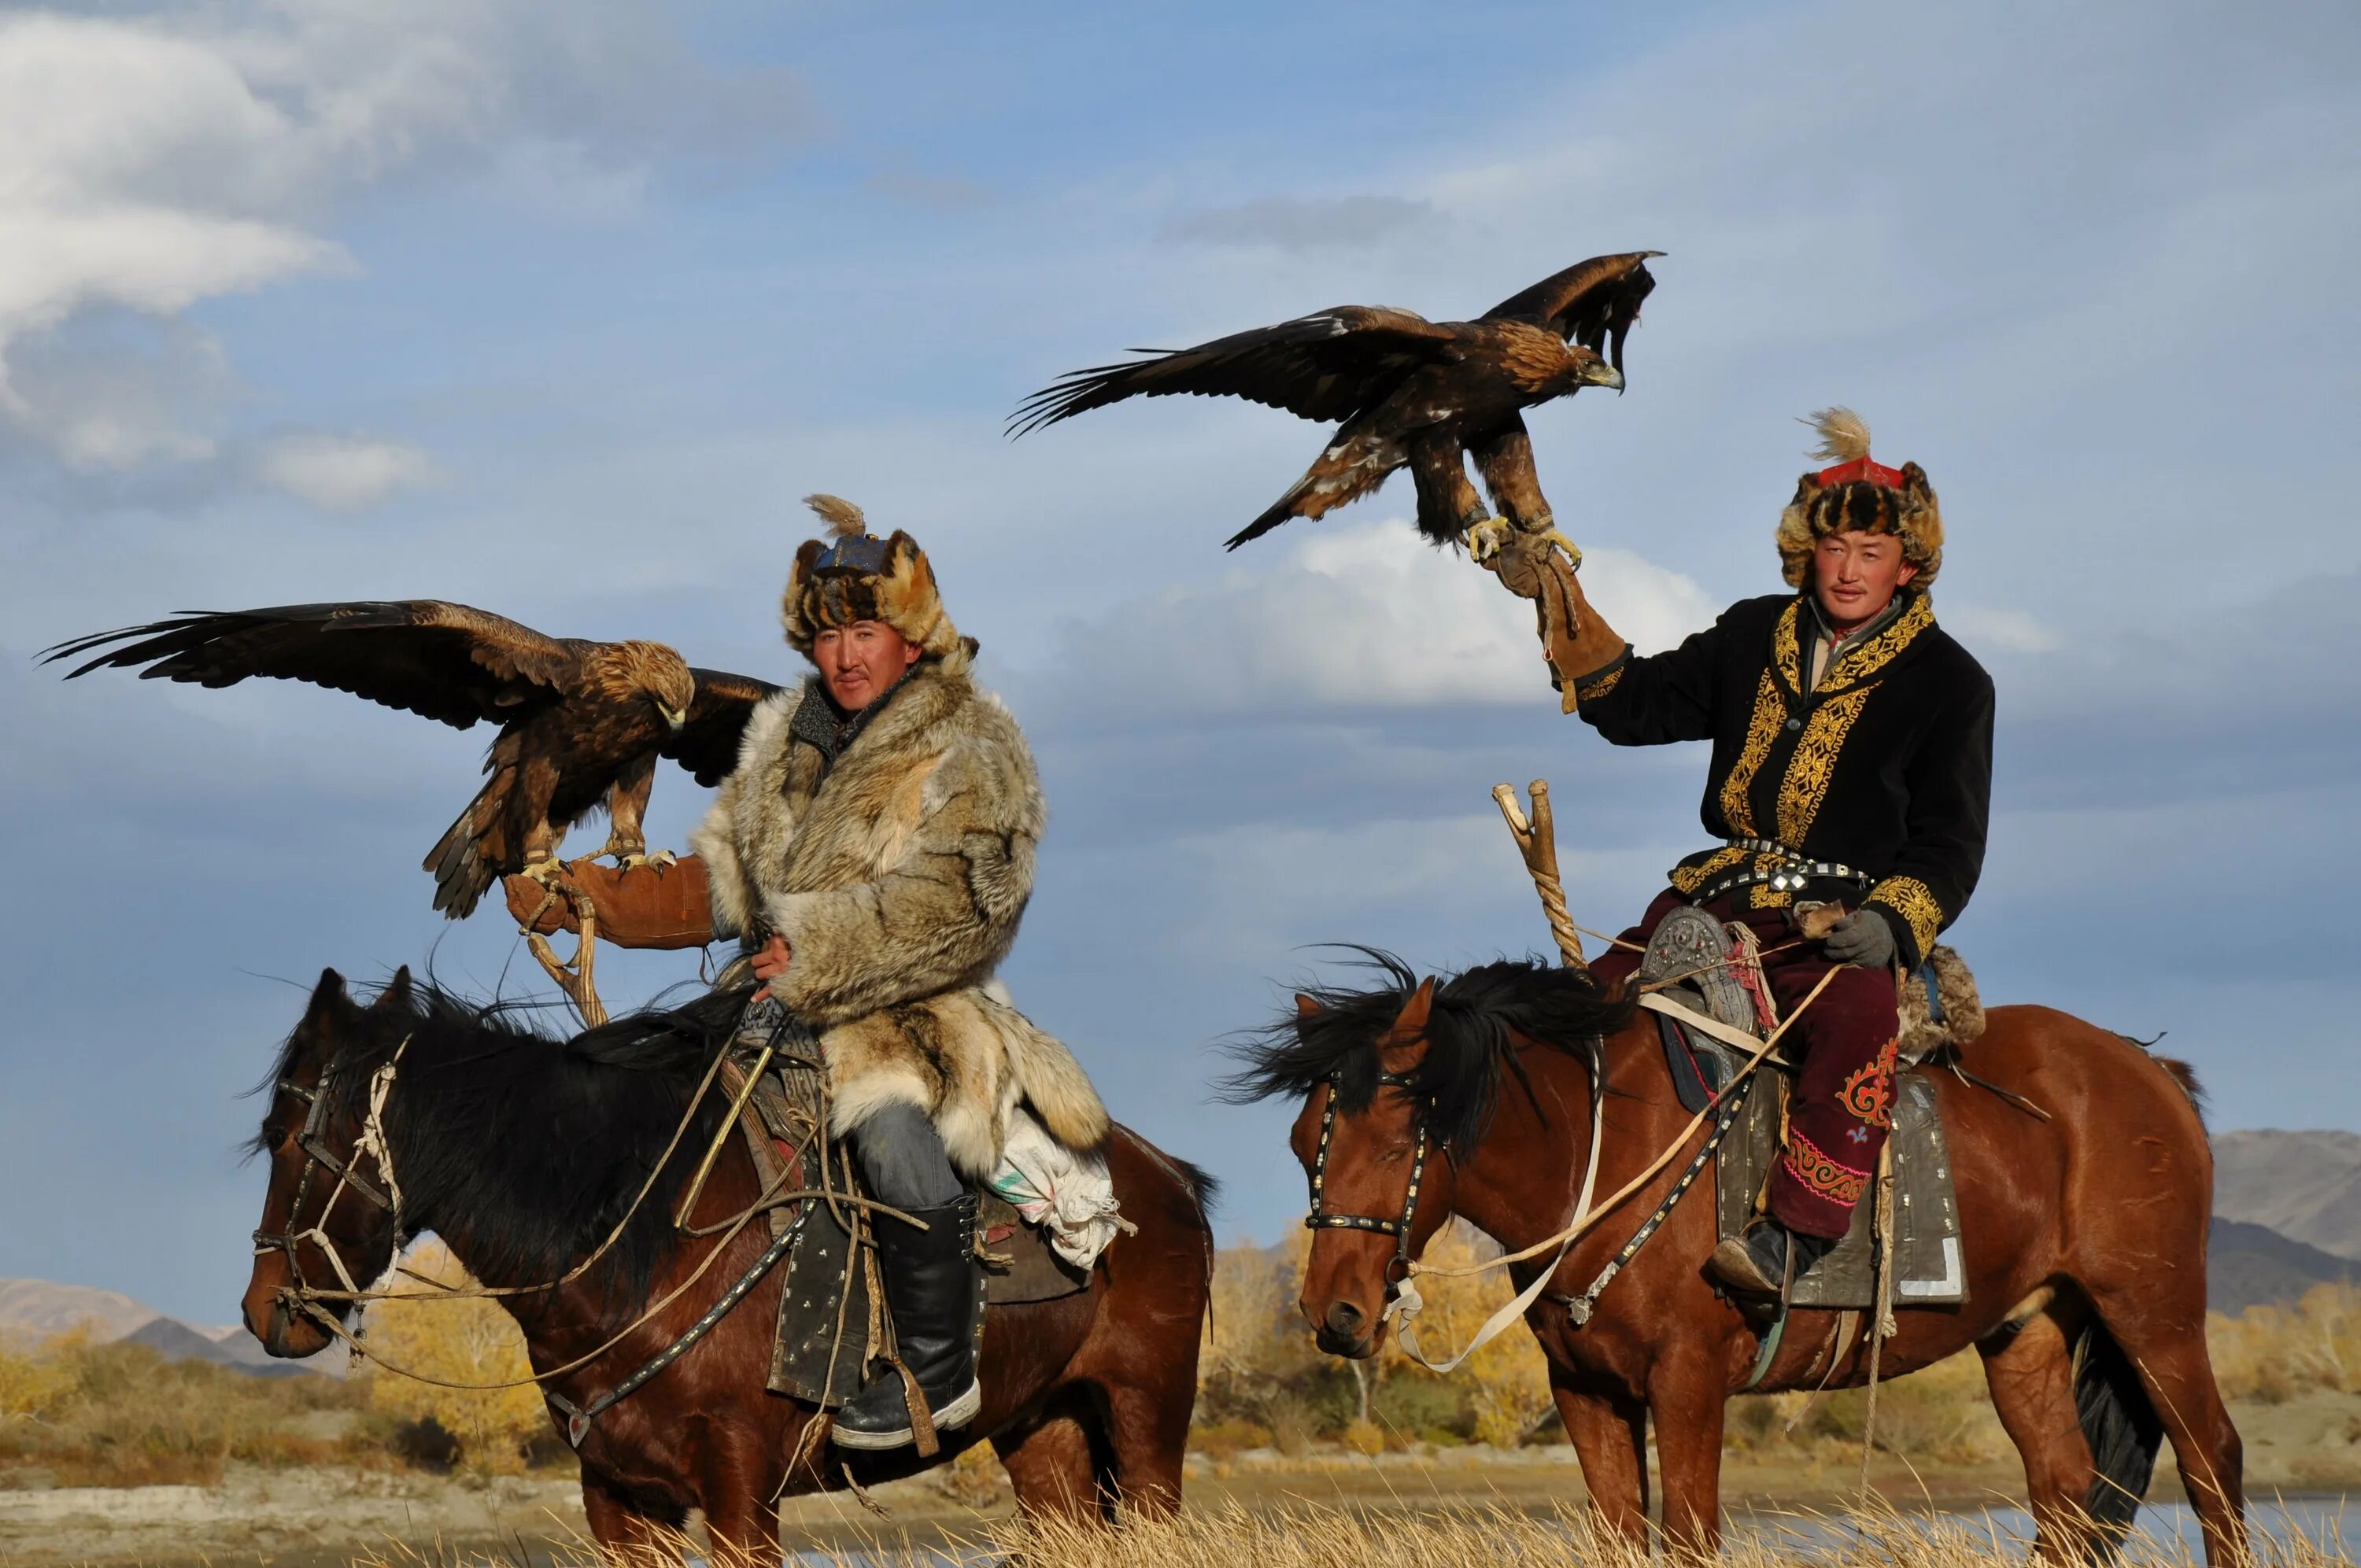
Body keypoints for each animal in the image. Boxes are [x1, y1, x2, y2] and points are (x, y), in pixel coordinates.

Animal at [242, 968, 1218, 1558]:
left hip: (1147, 1417)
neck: (639, 1249)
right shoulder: (619, 1496)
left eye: (287, 1135)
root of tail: (1170, 1174)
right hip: (1044, 1429)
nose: (263, 1311)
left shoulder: (742, 1488)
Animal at [1237, 949, 2248, 1558]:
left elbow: (1689, 1534)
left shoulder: (1687, 1384)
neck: (1601, 1154)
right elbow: (1621, 1535)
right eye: (1299, 1139)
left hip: (2153, 1314)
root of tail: (2145, 1068)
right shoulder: (1588, 1392)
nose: (1335, 1313)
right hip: (2025, 1331)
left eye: (1398, 1135)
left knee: (2212, 1462)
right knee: (2068, 1489)